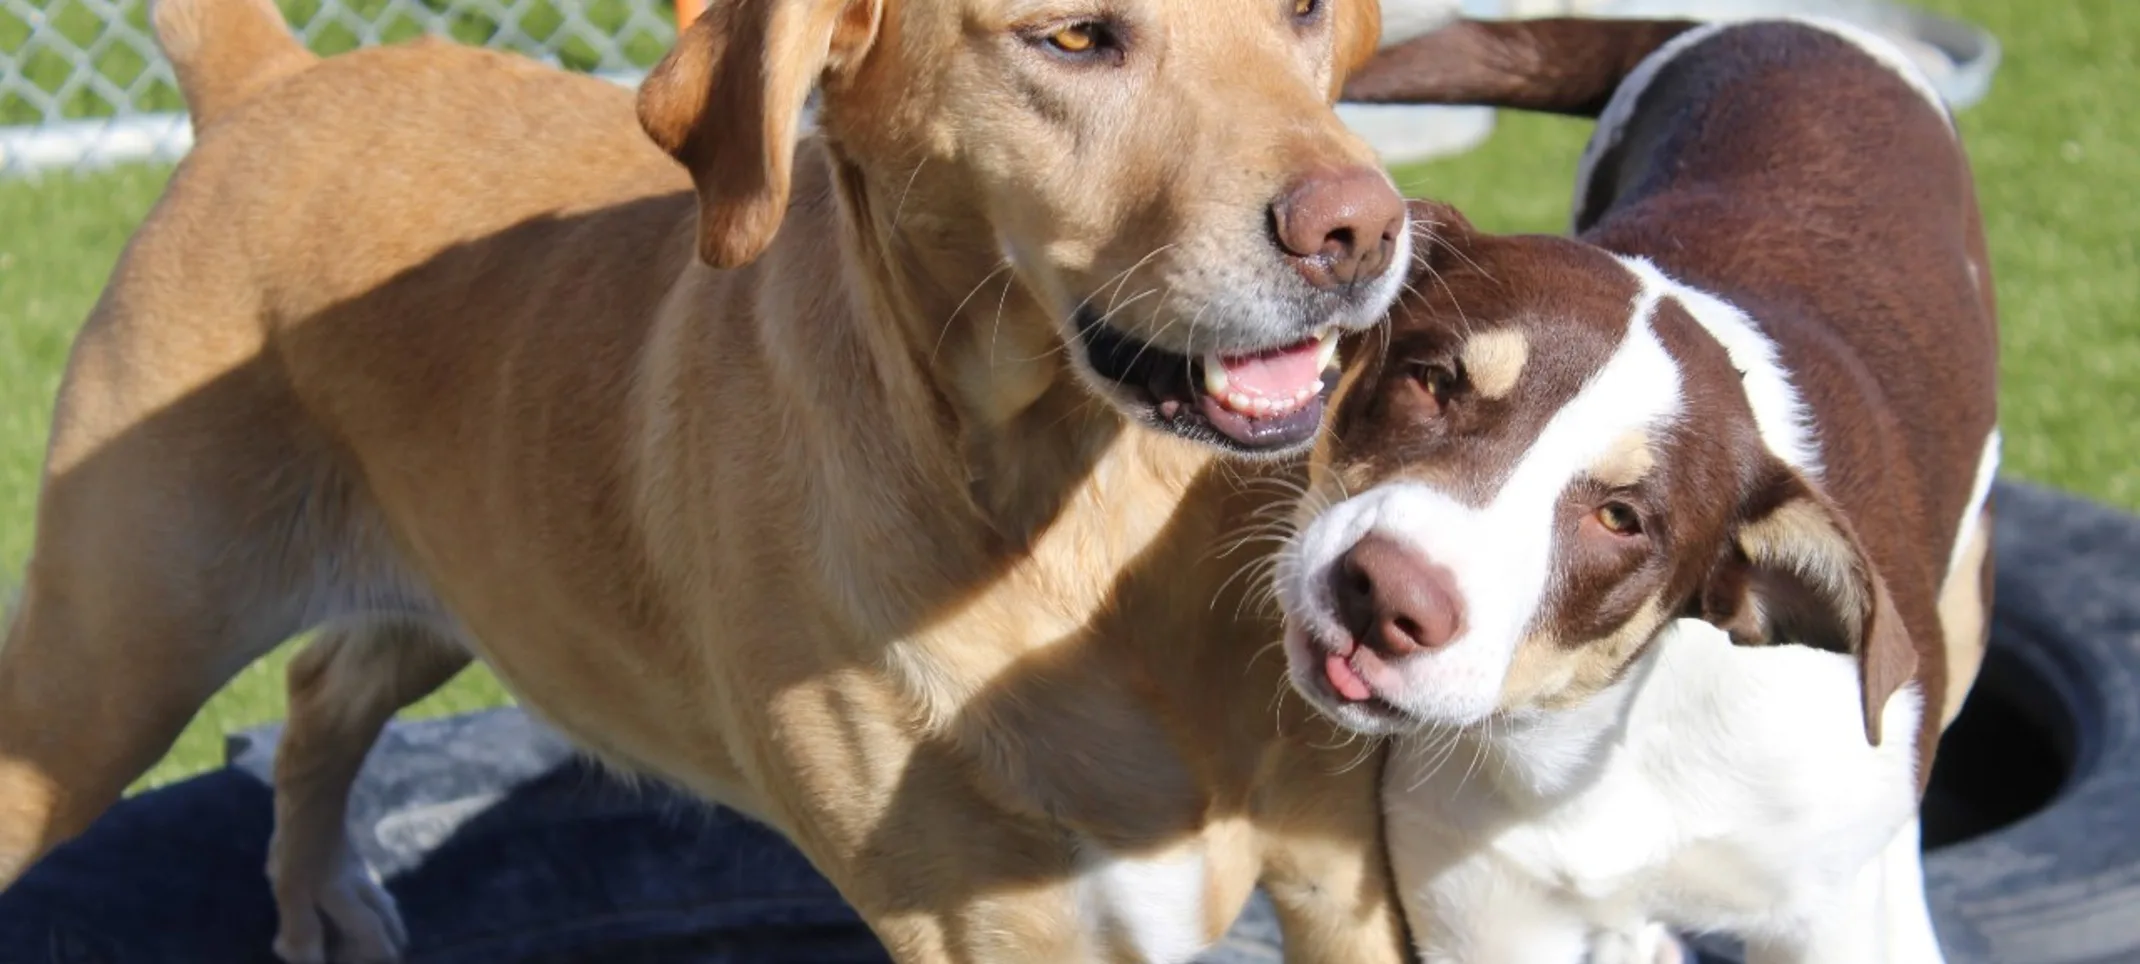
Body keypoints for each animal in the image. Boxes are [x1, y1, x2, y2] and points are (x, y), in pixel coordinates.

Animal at [0, 0, 1420, 955]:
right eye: (1072, 38)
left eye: (1301, 8)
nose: (1359, 230)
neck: (1078, 512)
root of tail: (271, 89)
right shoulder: (982, 918)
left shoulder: (1337, 873)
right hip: (95, 684)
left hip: (468, 587)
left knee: (313, 692)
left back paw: (320, 899)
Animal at [1275, 16, 1994, 964]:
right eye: (1431, 381)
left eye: (1620, 518)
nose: (1386, 595)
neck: (1592, 735)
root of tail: (1776, 21)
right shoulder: (1485, 915)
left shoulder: (1822, 912)